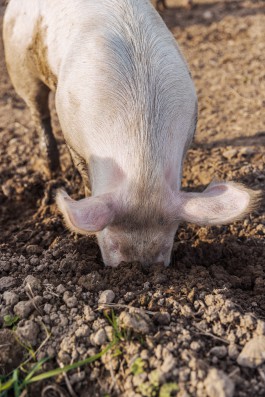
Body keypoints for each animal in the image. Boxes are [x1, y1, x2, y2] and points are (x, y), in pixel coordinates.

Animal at [3, 0, 256, 266]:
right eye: (113, 241)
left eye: (168, 242)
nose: (136, 267)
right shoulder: (74, 139)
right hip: (19, 61)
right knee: (38, 110)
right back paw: (52, 171)